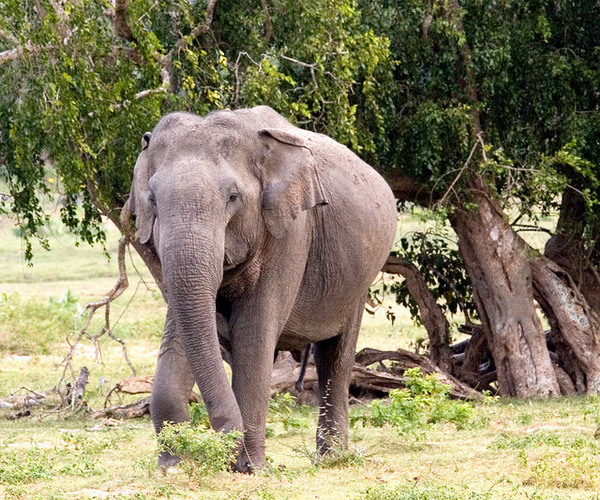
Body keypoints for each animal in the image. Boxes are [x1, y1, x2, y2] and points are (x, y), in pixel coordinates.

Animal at [129, 105, 396, 472]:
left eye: (233, 197)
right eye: (152, 199)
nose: (220, 438)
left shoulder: (292, 231)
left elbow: (253, 333)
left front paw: (249, 468)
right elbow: (182, 328)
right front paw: (173, 466)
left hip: (358, 279)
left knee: (336, 356)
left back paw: (332, 458)